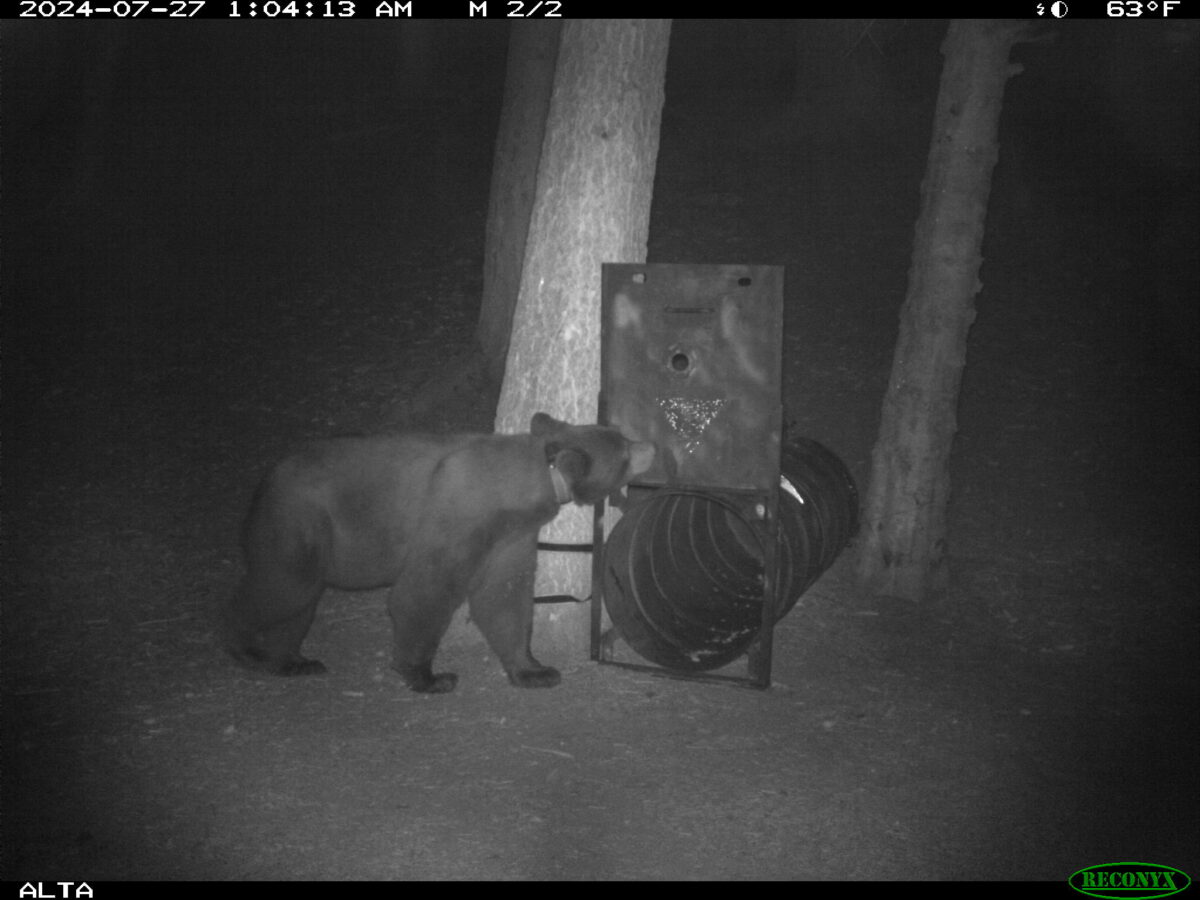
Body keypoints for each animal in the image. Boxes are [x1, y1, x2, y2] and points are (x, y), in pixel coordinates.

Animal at [224, 412, 655, 693]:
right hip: (297, 522)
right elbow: (425, 591)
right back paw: (246, 647)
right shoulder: (460, 517)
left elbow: (504, 597)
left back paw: (295, 660)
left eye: (619, 434)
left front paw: (535, 670)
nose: (650, 444)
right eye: (624, 450)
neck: (528, 484)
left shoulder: (510, 536)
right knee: (283, 588)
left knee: (299, 603)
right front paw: (428, 675)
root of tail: (268, 478)